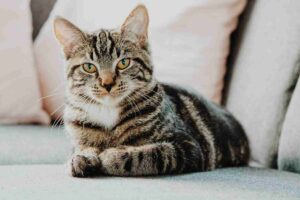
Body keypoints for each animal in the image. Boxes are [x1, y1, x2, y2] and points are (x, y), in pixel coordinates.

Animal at [53, 4, 248, 177]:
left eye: (124, 63)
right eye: (89, 67)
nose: (107, 83)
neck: (108, 113)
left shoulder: (188, 146)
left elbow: (150, 154)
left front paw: (112, 155)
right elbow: (79, 149)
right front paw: (81, 157)